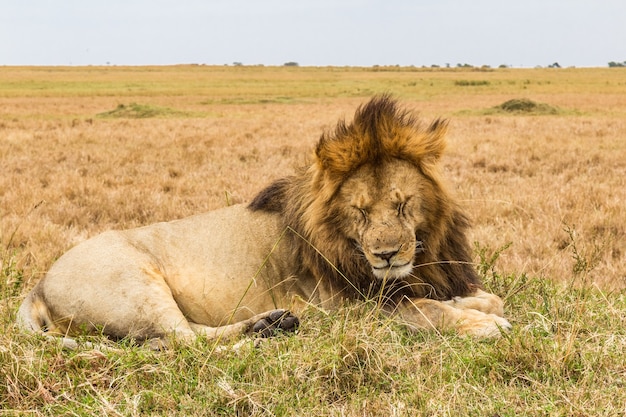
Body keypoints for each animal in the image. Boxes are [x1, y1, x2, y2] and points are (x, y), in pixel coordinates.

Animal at [17, 94, 510, 344]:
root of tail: (37, 286)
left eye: (403, 204)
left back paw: (271, 324)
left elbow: (466, 297)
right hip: (136, 285)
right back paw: (260, 337)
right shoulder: (346, 309)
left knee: (188, 334)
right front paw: (482, 324)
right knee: (183, 343)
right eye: (360, 211)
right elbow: (424, 310)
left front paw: (478, 304)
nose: (387, 255)